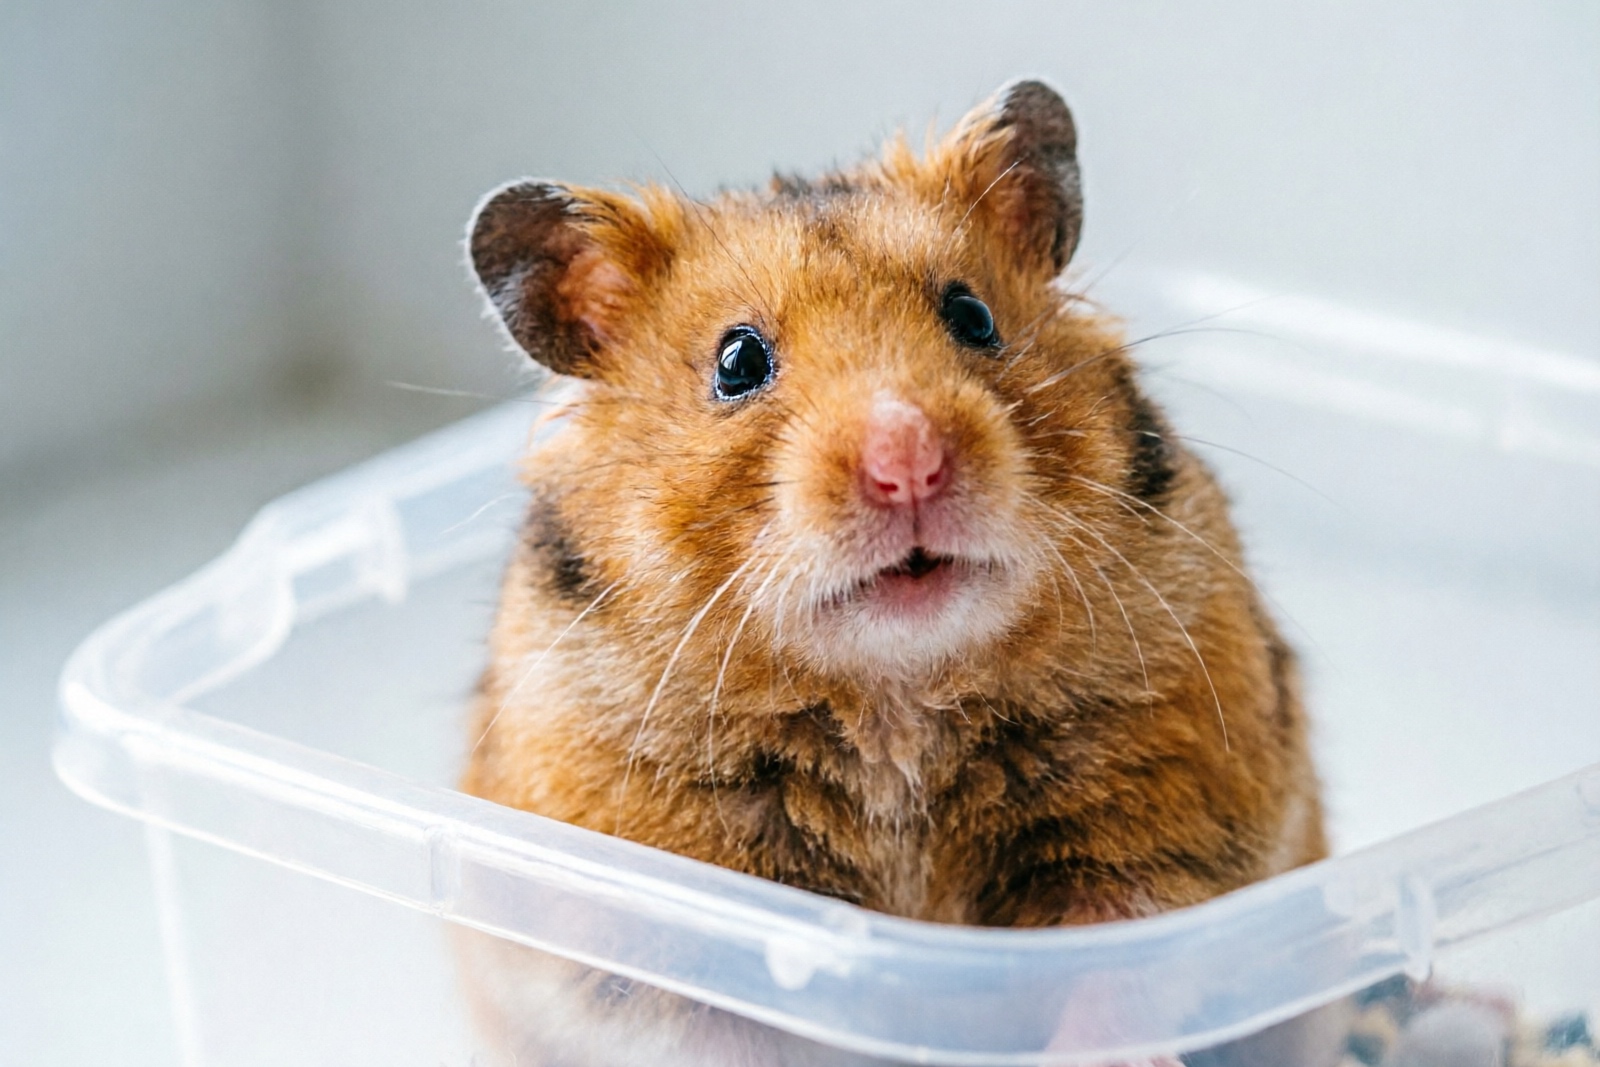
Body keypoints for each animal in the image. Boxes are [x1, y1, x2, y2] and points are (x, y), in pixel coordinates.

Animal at [457, 79, 1328, 1064]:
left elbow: (1114, 965)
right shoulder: (653, 935)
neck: (895, 698)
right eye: (737, 361)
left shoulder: (1157, 829)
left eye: (973, 316)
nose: (908, 460)